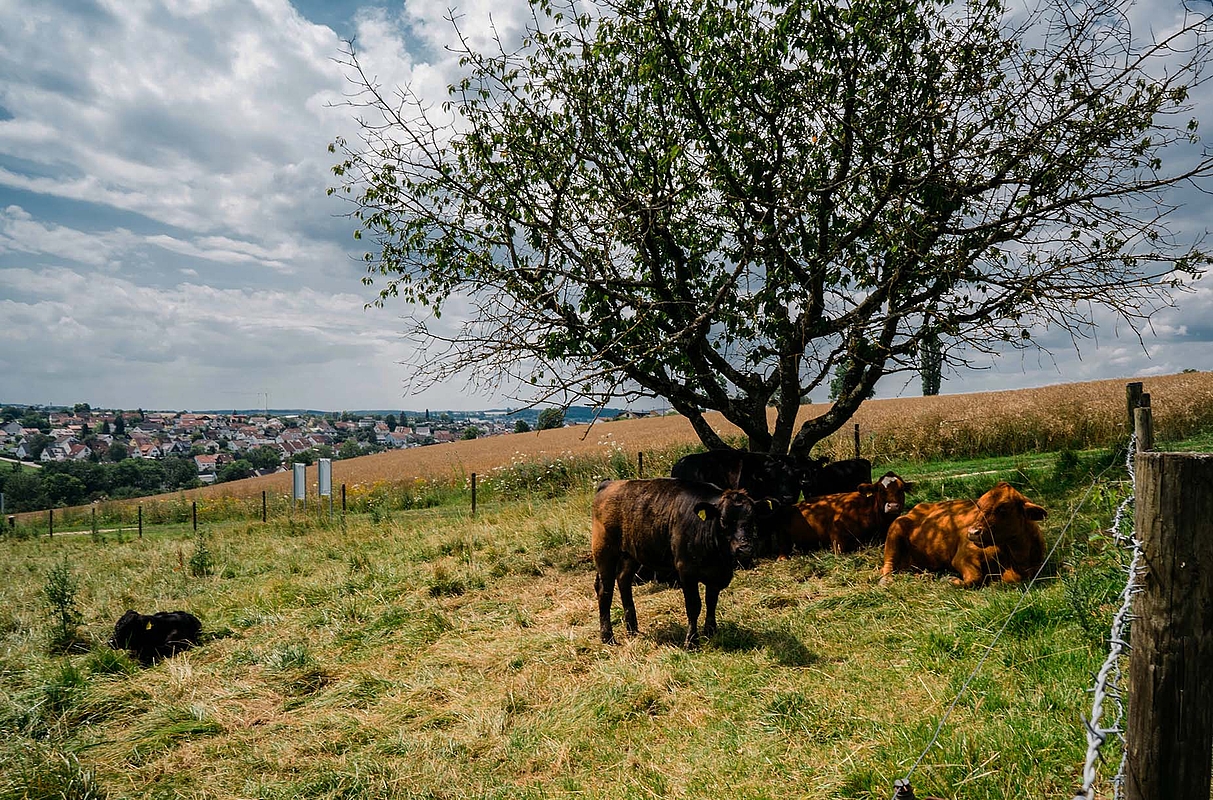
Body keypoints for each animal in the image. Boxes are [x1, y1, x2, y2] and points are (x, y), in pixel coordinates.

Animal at [591, 477, 761, 644]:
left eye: (752, 520)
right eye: (724, 521)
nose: (744, 548)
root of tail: (609, 483)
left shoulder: (716, 574)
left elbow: (711, 602)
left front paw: (710, 633)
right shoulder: (686, 571)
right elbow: (694, 606)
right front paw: (691, 641)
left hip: (630, 554)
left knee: (623, 580)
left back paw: (632, 630)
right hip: (604, 552)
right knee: (605, 590)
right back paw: (607, 637)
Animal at [878, 482, 1048, 586]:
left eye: (1003, 508)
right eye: (978, 506)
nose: (972, 533)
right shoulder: (963, 557)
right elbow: (974, 579)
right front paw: (950, 580)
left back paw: (926, 576)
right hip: (895, 530)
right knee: (887, 566)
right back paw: (886, 580)